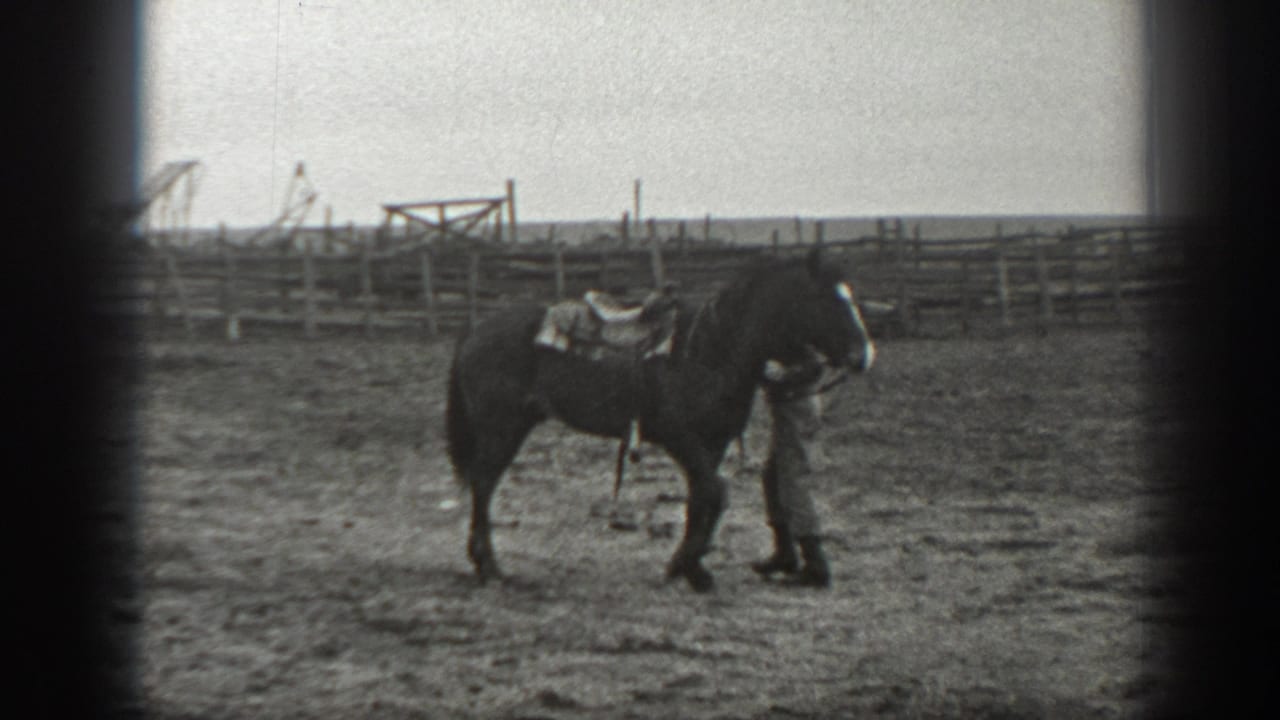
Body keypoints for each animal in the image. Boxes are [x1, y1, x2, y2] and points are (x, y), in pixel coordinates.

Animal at [445, 247, 875, 592]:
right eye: (824, 298)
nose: (864, 354)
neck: (708, 349)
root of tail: (475, 332)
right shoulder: (680, 439)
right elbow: (716, 493)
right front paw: (690, 567)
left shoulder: (711, 444)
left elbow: (701, 499)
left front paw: (687, 567)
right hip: (501, 428)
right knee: (483, 485)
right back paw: (490, 567)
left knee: (483, 485)